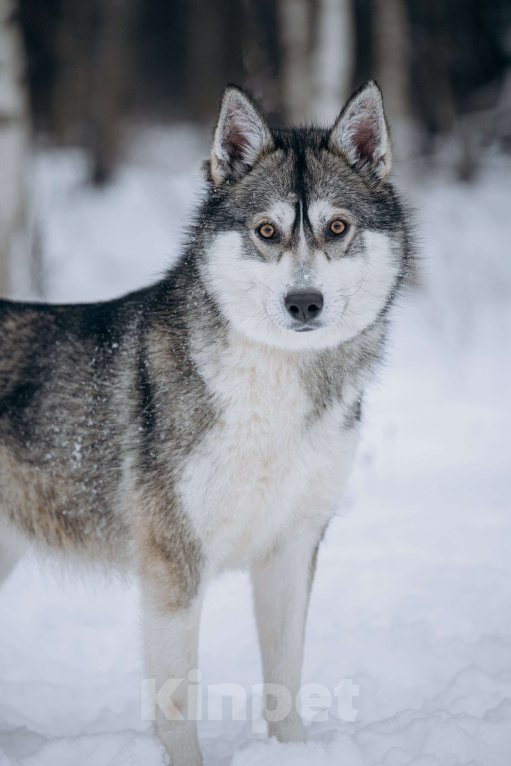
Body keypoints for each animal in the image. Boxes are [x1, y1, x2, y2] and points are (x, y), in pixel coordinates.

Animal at [0, 81, 416, 764]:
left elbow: (285, 683)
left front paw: (292, 751)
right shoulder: (173, 564)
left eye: (337, 227)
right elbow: (177, 706)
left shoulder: (291, 549)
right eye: (267, 230)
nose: (304, 303)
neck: (273, 389)